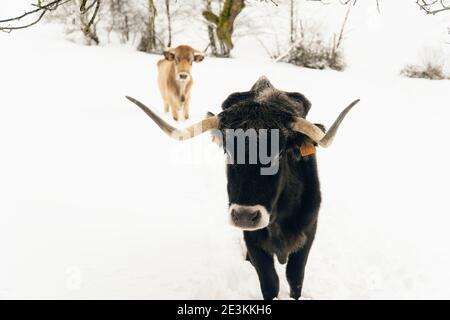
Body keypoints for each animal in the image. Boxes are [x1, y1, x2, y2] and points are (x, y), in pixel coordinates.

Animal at [126, 77, 358, 300]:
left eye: (279, 154)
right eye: (228, 152)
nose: (245, 216)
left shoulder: (308, 232)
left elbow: (295, 277)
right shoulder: (253, 239)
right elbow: (270, 282)